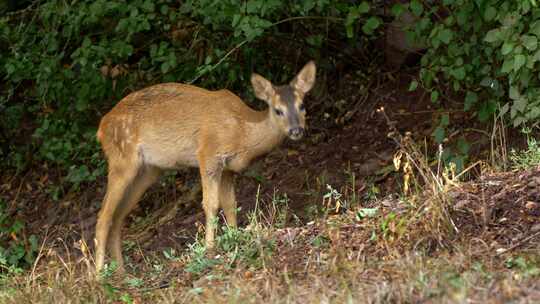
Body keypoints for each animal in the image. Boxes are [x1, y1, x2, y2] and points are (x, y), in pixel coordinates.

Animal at [94, 60, 316, 274]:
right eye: (278, 110)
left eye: (302, 106)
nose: (296, 130)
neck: (242, 132)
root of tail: (101, 127)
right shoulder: (208, 155)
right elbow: (211, 204)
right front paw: (210, 248)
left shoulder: (228, 169)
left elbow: (230, 204)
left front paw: (234, 239)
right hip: (122, 159)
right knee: (103, 216)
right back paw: (98, 275)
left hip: (148, 170)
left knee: (118, 217)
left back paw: (121, 273)